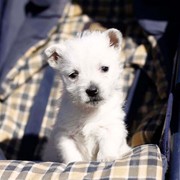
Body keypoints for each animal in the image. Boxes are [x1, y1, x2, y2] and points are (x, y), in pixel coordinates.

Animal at [43, 28, 131, 163]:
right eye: (73, 74)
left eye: (105, 68)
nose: (92, 90)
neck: (89, 111)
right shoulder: (65, 134)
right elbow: (70, 152)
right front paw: (75, 163)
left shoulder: (111, 126)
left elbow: (108, 144)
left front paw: (107, 158)